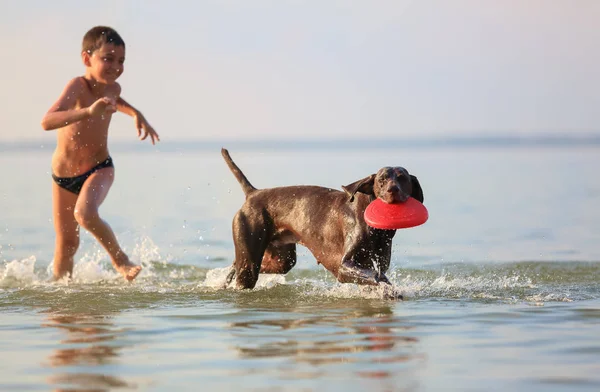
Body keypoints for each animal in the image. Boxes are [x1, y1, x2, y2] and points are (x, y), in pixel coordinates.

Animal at [223, 149, 424, 292]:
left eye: (403, 179)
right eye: (381, 180)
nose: (393, 190)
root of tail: (252, 193)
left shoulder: (379, 262)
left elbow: (377, 276)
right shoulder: (344, 267)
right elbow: (374, 277)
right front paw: (389, 290)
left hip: (281, 261)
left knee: (241, 265)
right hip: (250, 255)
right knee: (245, 271)